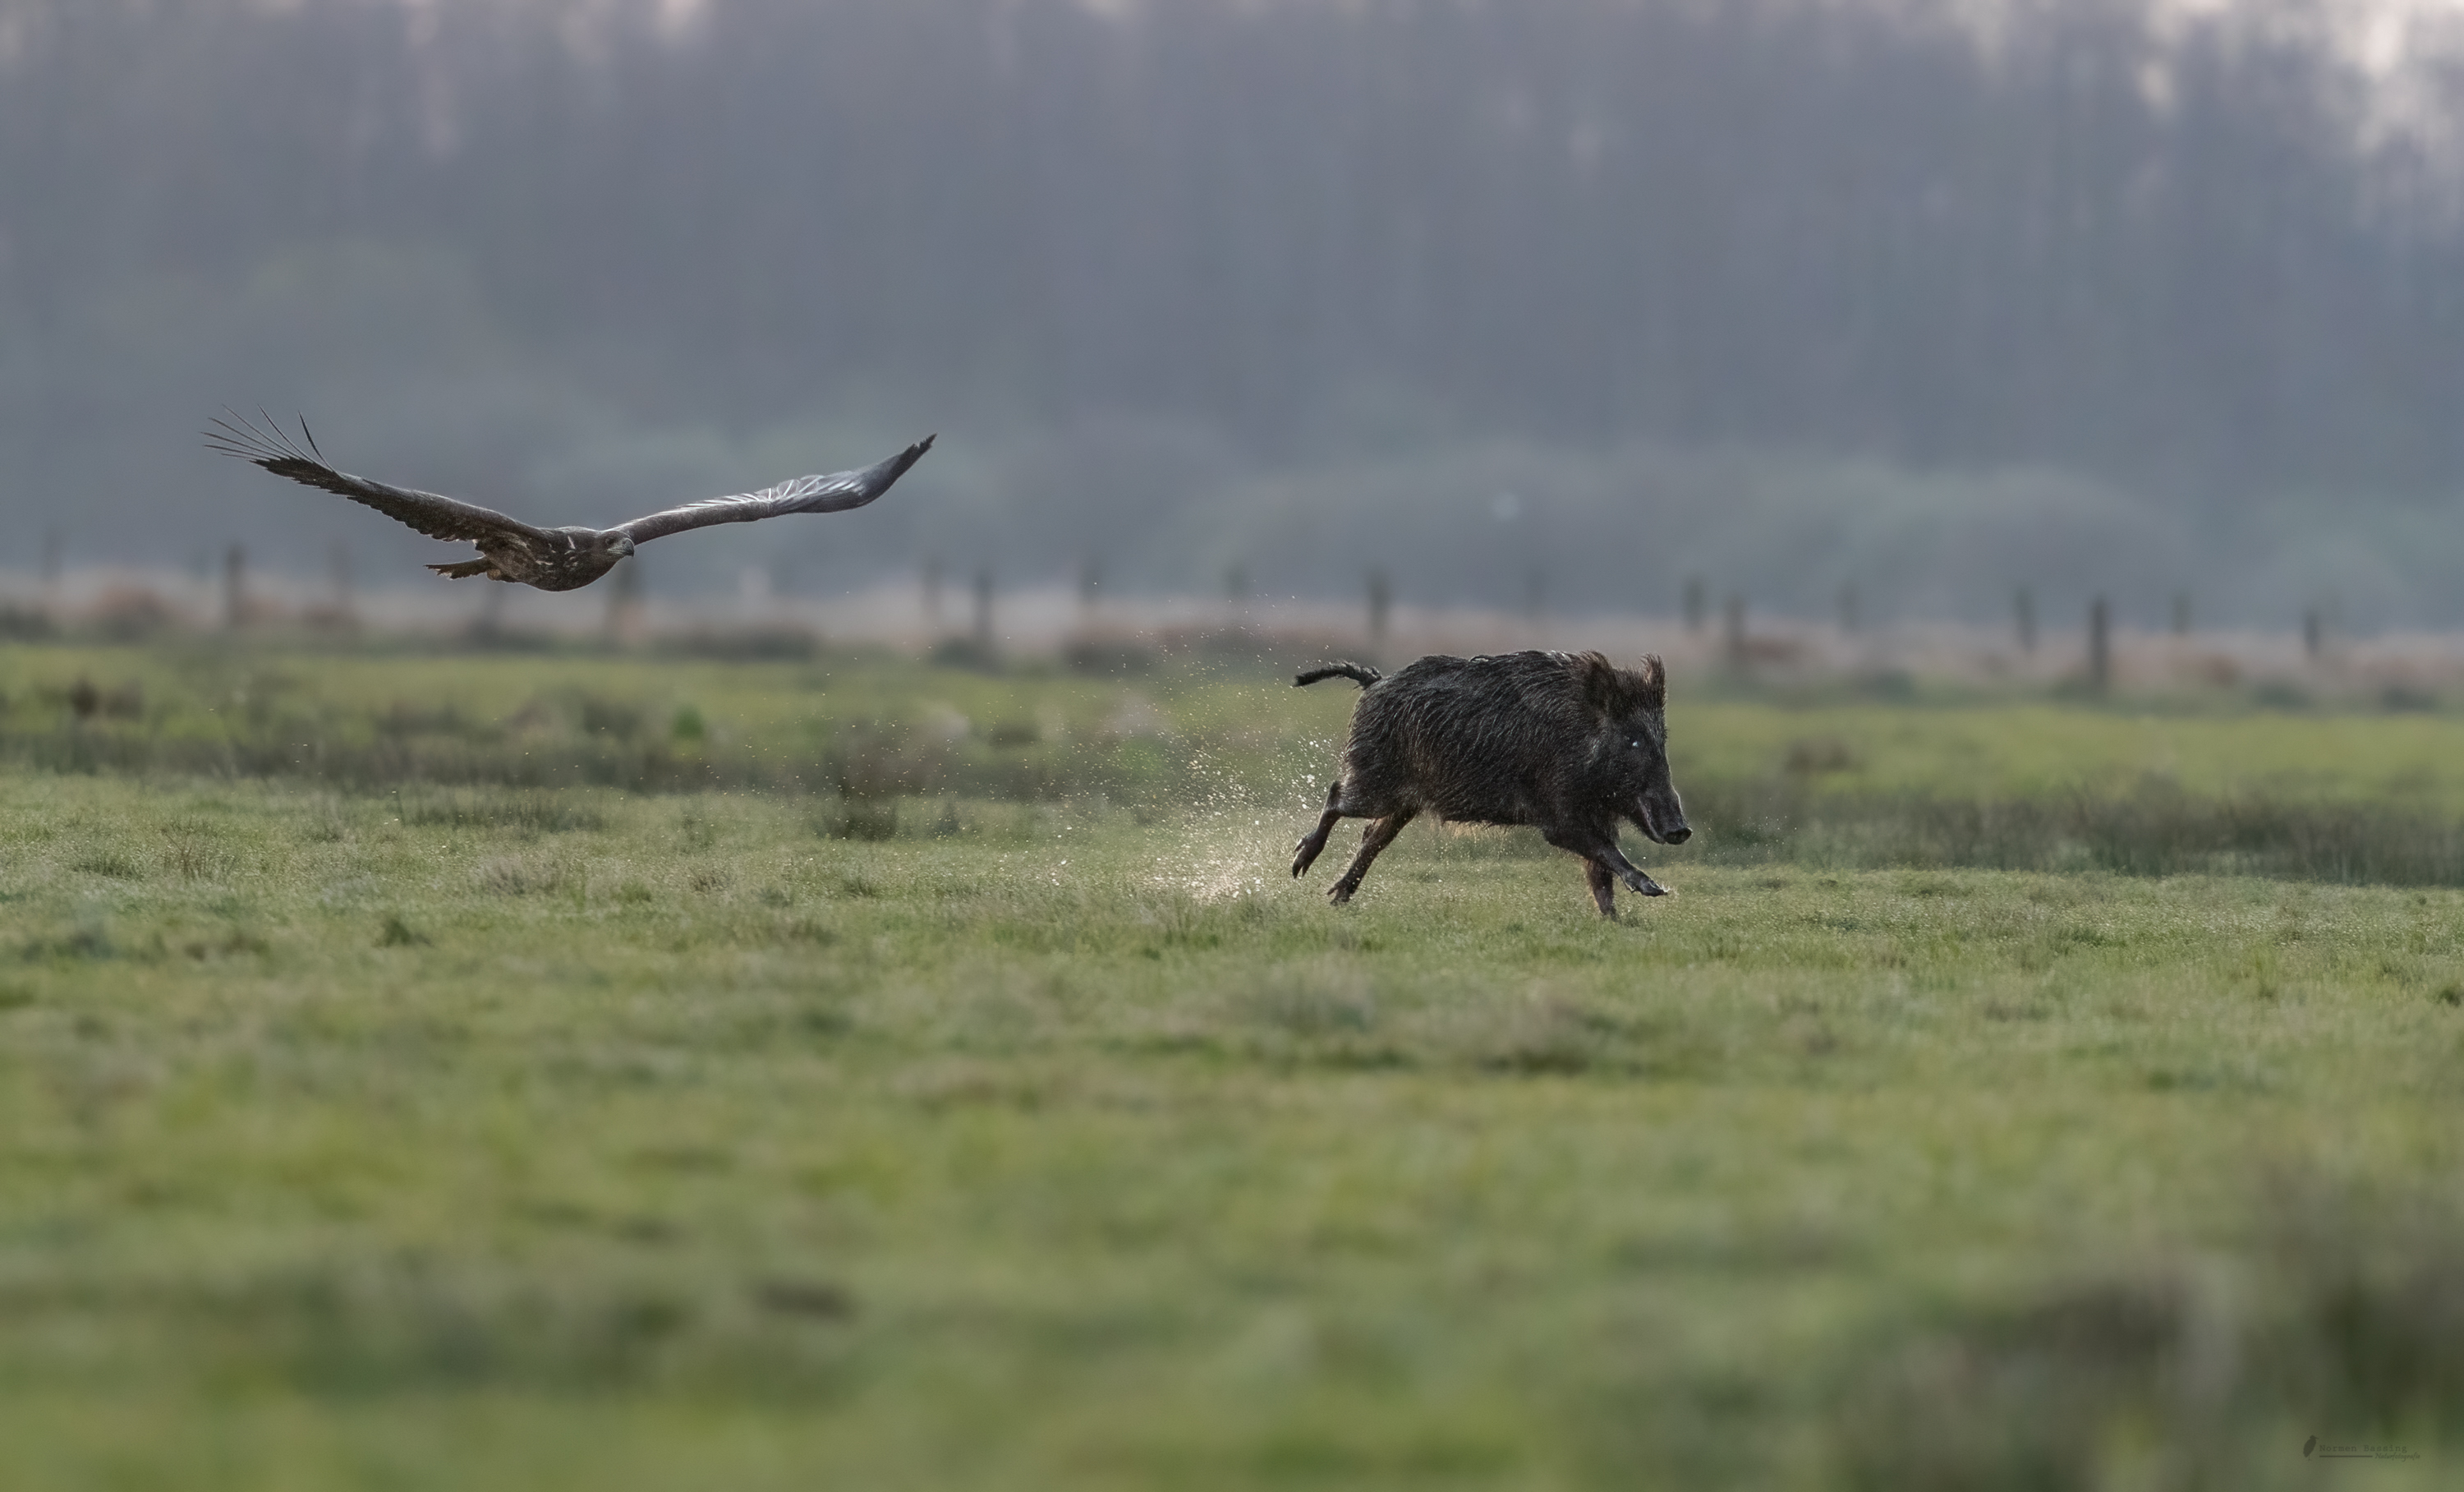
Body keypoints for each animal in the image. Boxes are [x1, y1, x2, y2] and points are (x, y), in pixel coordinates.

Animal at [1290, 650, 1690, 916]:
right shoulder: (1558, 814)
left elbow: (1601, 875)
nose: (1682, 830)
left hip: (1407, 801)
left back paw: (1337, 897)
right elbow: (1604, 852)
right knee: (1336, 797)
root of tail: (1373, 682)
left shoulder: (1598, 816)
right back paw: (1298, 867)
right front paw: (1654, 889)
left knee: (1372, 837)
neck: (1577, 740)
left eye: (1662, 739)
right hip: (1376, 781)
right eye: (1632, 741)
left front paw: (1616, 922)